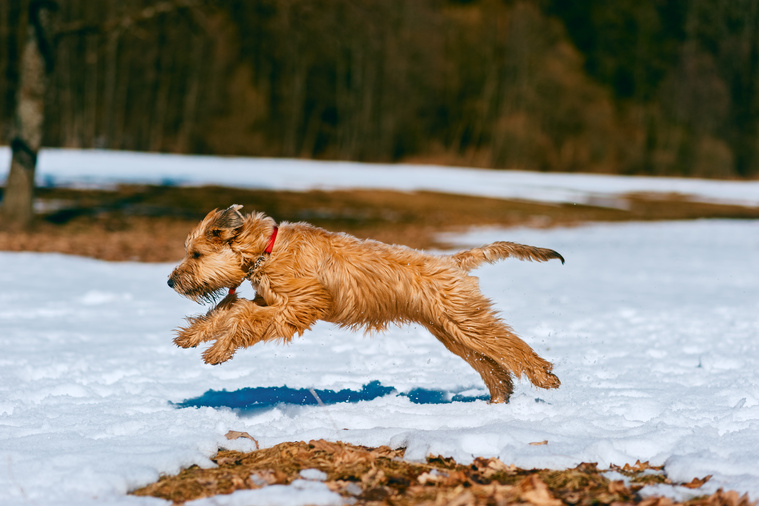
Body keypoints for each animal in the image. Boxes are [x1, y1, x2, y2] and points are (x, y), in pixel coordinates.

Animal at [169, 206, 568, 404]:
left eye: (196, 254)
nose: (171, 281)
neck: (267, 249)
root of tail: (452, 261)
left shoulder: (301, 305)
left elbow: (244, 316)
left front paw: (219, 349)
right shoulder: (271, 300)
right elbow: (229, 309)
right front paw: (192, 336)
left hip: (465, 321)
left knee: (510, 346)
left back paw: (545, 378)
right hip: (451, 331)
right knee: (492, 363)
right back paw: (499, 398)